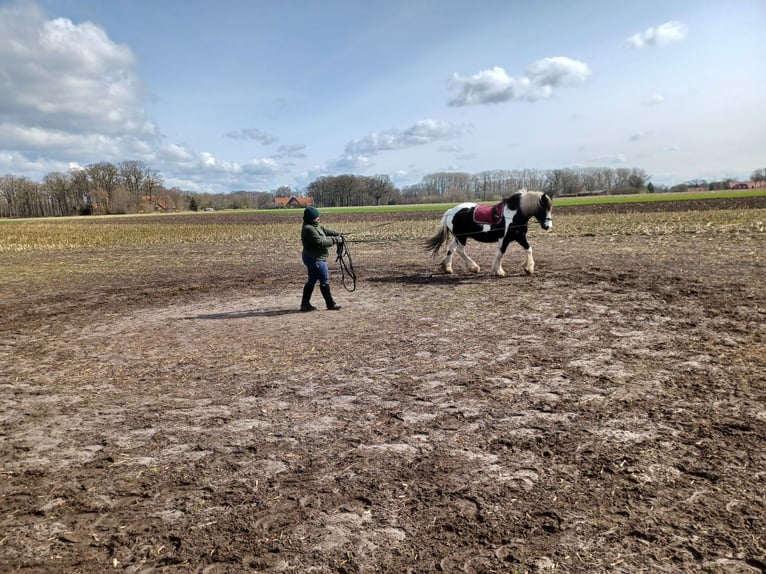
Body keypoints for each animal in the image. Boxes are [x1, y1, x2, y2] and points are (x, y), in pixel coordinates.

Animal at [428, 191, 556, 276]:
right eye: (542, 208)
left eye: (550, 208)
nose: (548, 226)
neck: (515, 215)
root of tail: (451, 211)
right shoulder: (505, 239)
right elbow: (501, 253)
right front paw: (499, 271)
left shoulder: (520, 237)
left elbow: (528, 249)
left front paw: (528, 268)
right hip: (462, 237)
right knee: (460, 250)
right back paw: (474, 267)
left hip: (458, 237)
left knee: (451, 248)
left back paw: (447, 268)